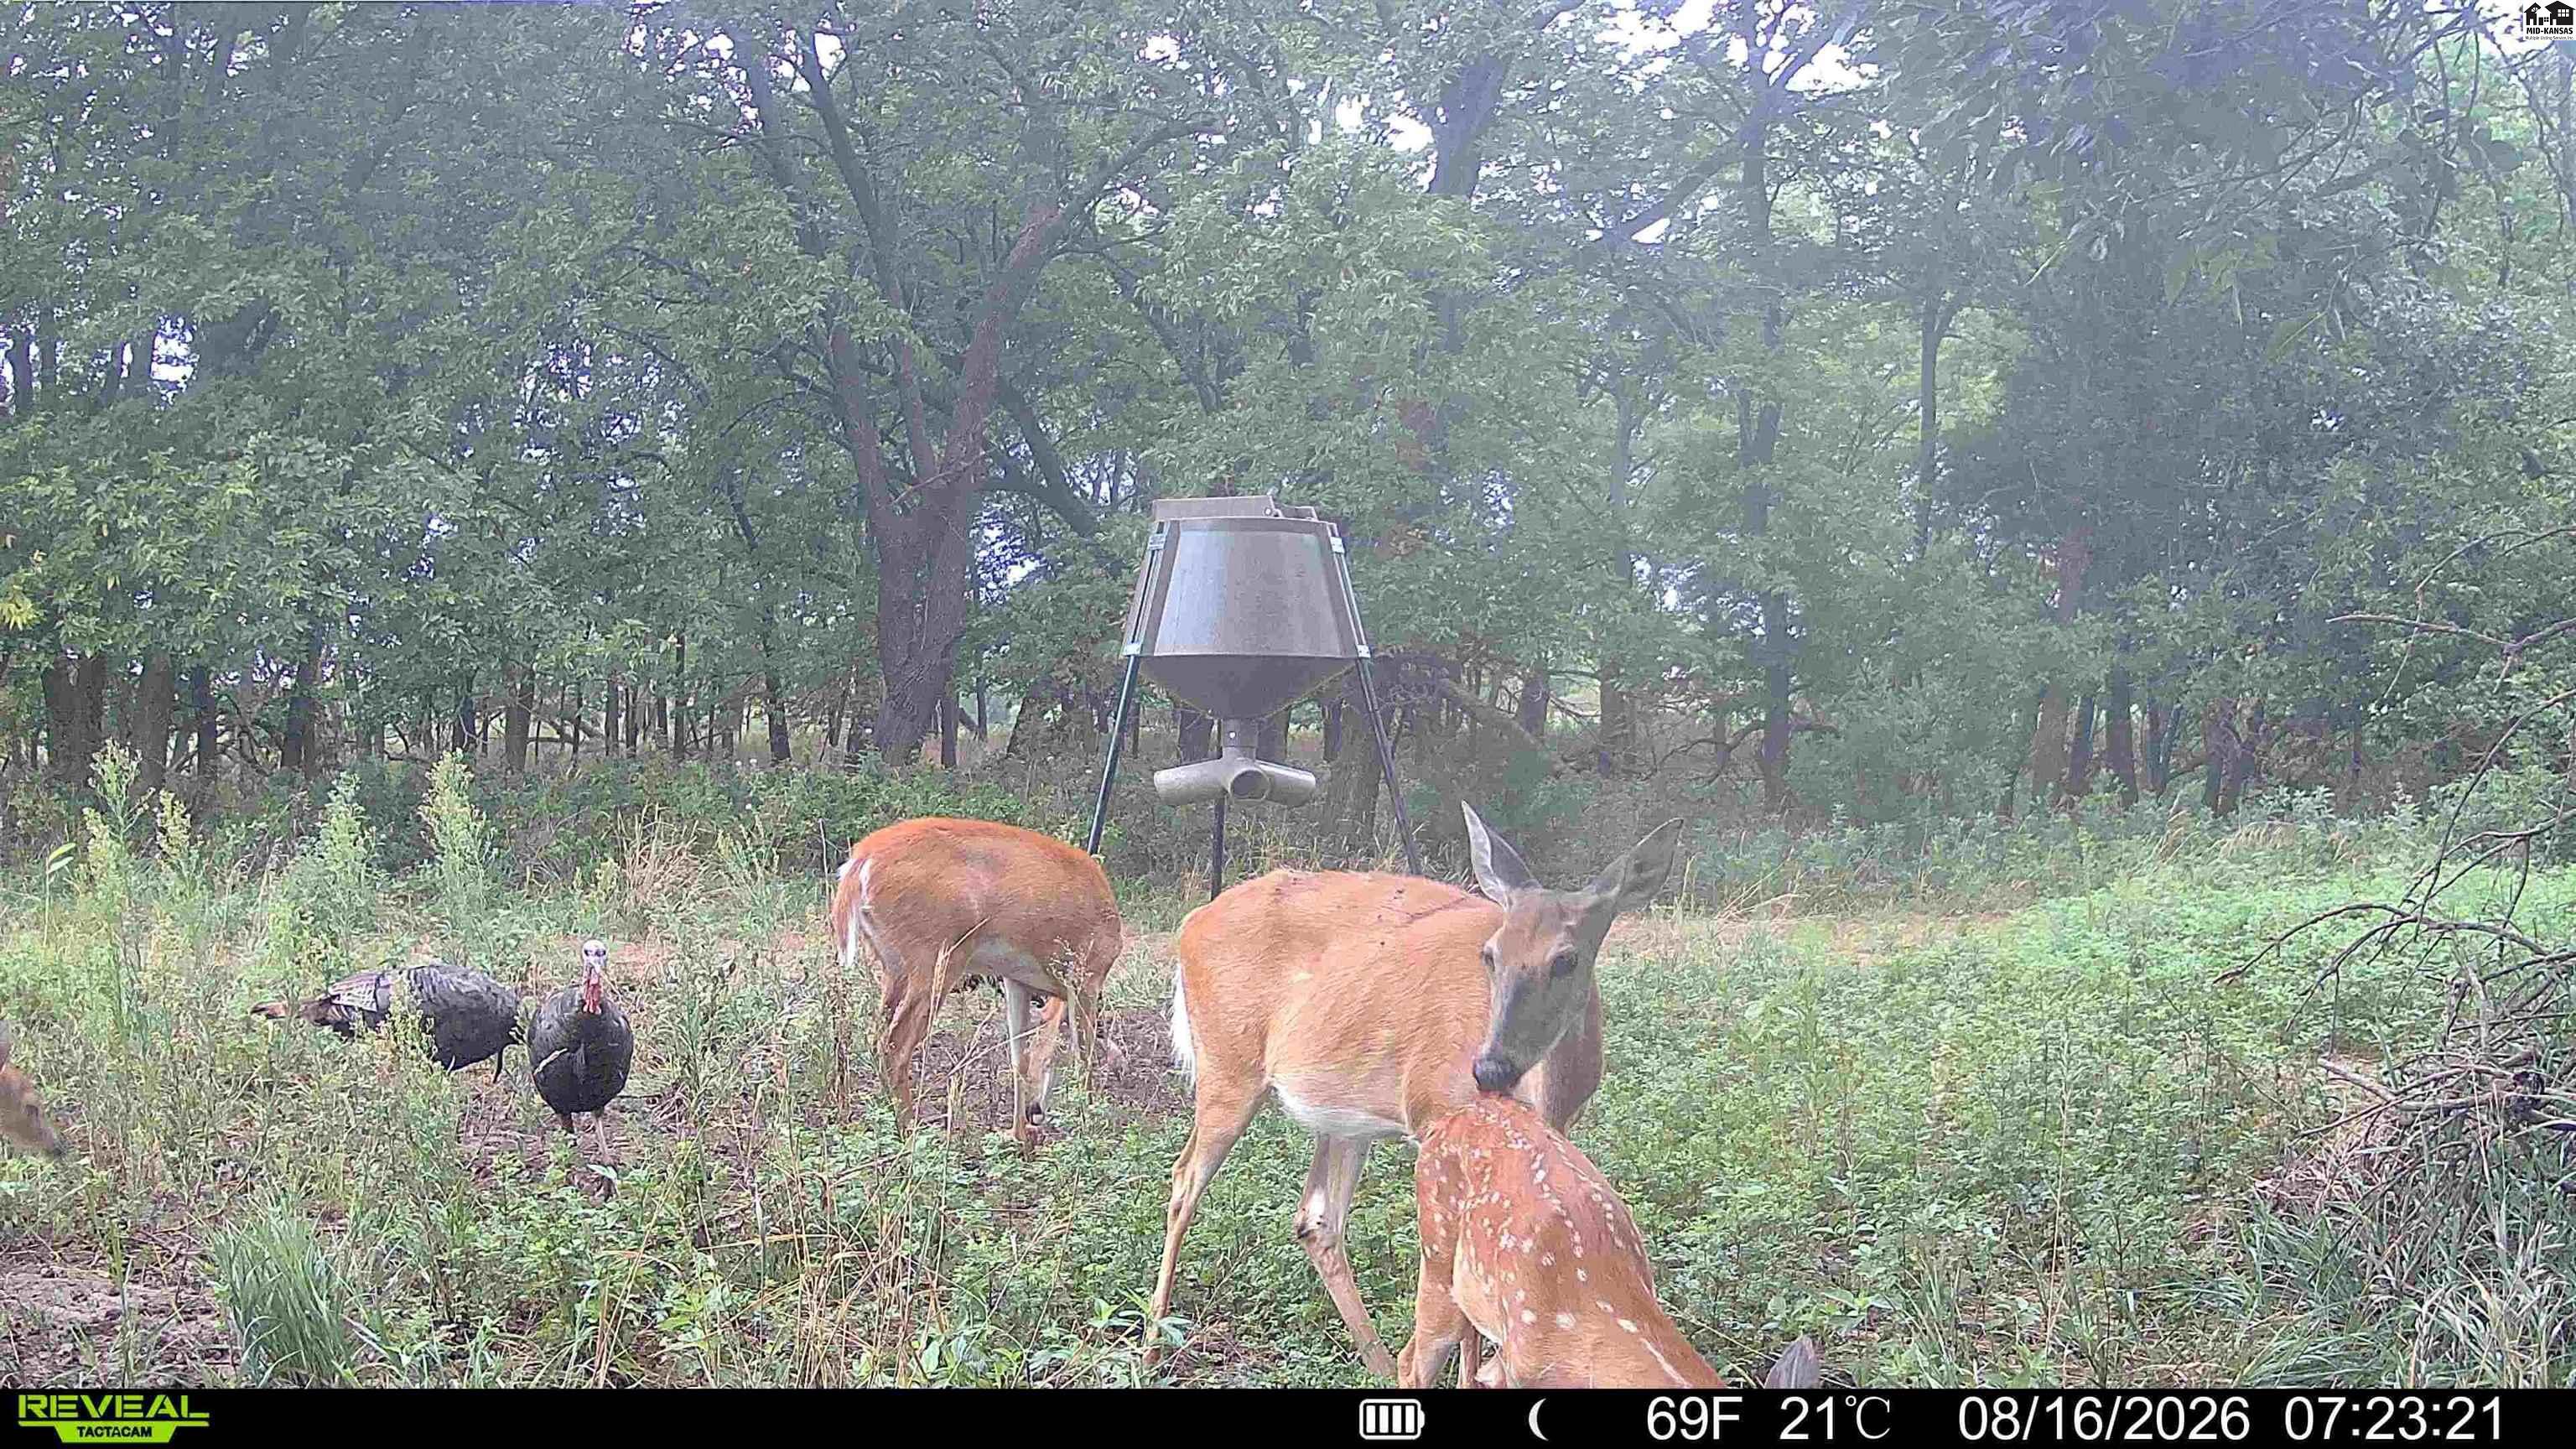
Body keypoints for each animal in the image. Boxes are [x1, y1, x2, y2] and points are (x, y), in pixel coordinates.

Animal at [828, 817, 1125, 1152]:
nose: (1035, 1113)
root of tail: (860, 862)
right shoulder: (1087, 976)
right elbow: (1082, 1058)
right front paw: (1089, 1134)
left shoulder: (1017, 980)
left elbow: (1020, 1058)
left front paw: (1020, 1138)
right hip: (936, 959)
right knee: (895, 1045)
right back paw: (911, 1134)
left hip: (894, 969)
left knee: (876, 1037)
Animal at [1145, 803, 1685, 1378]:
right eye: (1490, 955)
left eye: (1567, 959)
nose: (1490, 1068)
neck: (1545, 1098)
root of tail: (1190, 926)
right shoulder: (1436, 1113)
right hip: (1229, 1066)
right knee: (1184, 1180)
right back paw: (1152, 1345)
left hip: (1340, 1112)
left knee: (1315, 1218)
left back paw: (1378, 1363)